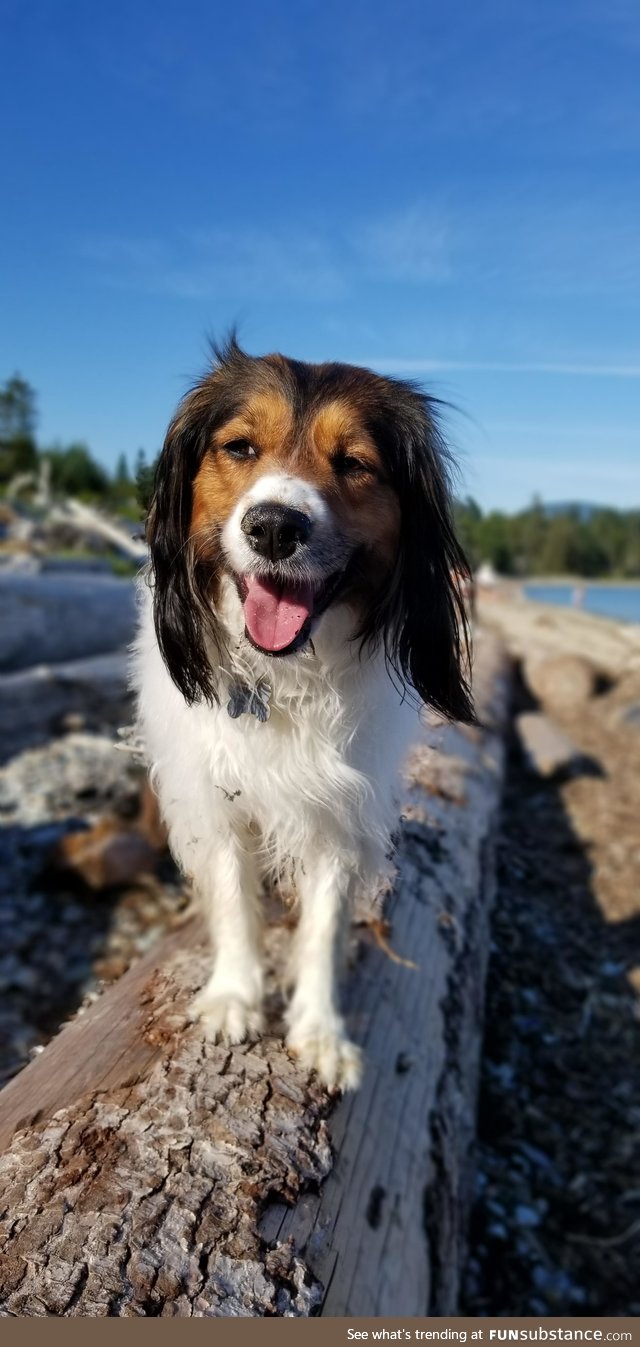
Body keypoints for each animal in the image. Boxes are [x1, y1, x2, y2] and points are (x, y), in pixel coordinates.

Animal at [134, 339, 476, 1093]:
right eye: (239, 447)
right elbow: (234, 897)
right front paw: (234, 997)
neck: (285, 675)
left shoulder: (340, 811)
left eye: (353, 463)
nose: (273, 527)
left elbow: (322, 924)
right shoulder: (215, 795)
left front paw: (321, 1032)